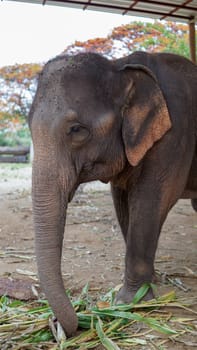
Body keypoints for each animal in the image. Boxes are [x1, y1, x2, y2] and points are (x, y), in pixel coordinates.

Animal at [28, 51, 197, 336]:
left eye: (76, 130)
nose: (58, 325)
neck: (121, 67)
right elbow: (122, 204)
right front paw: (146, 285)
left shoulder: (175, 135)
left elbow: (151, 201)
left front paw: (131, 302)